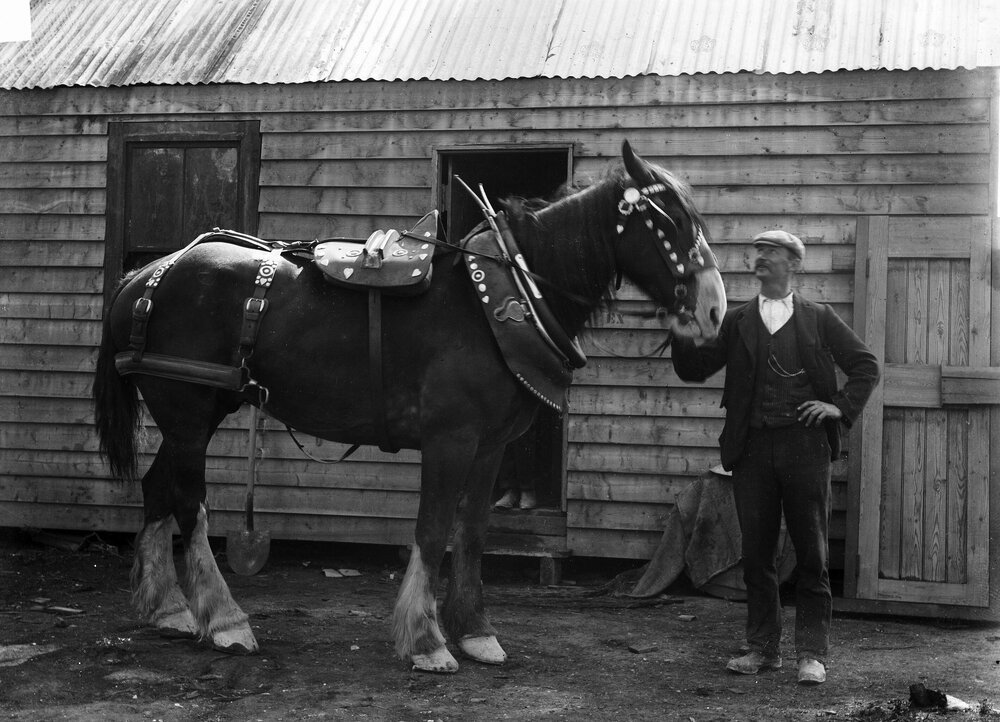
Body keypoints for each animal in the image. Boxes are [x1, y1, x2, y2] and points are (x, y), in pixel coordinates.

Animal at [93, 141, 726, 673]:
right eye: (670, 221)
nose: (715, 309)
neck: (503, 300)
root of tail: (148, 275)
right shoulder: (451, 438)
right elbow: (432, 528)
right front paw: (426, 640)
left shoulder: (490, 445)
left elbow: (471, 532)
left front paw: (475, 631)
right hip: (187, 413)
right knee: (189, 504)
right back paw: (225, 621)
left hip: (192, 417)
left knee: (158, 490)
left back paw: (171, 610)